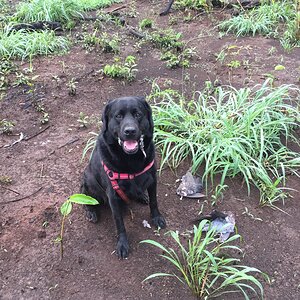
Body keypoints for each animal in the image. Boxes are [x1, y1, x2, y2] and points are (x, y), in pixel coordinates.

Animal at [81, 96, 166, 258]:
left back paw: (142, 196)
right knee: (84, 196)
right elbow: (119, 223)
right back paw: (90, 212)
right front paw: (122, 244)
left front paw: (157, 218)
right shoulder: (113, 195)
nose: (130, 131)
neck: (131, 160)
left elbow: (154, 202)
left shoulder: (153, 179)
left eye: (138, 114)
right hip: (88, 179)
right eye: (118, 116)